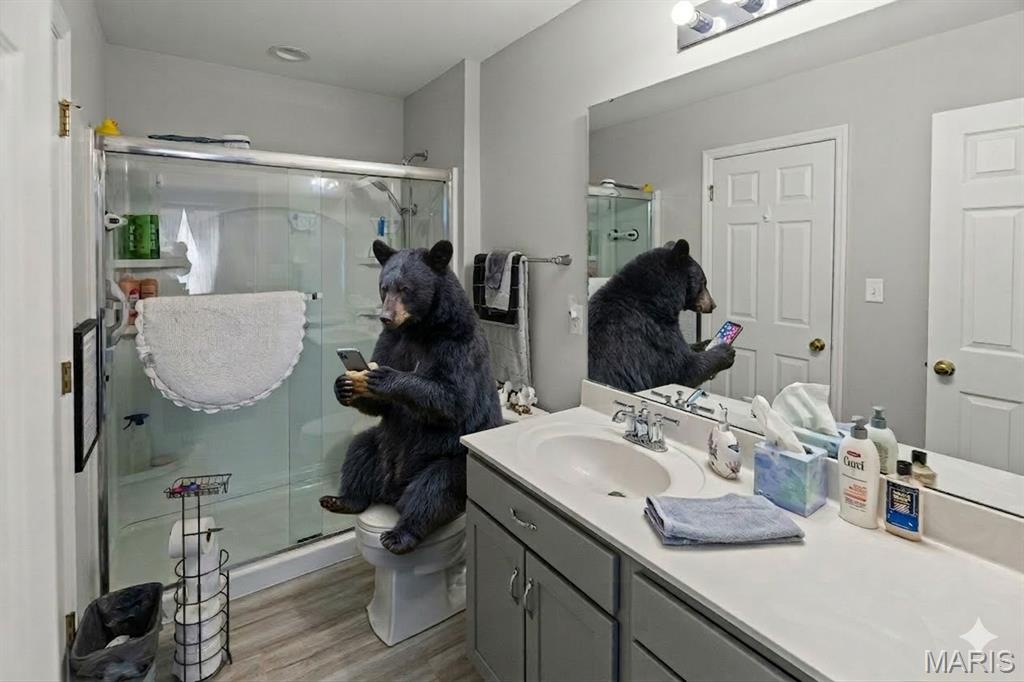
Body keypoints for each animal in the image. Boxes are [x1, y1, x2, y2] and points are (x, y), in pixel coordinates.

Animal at [319, 239, 503, 555]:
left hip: (453, 461)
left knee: (433, 490)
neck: (420, 329)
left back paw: (399, 535)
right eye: (384, 287)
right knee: (358, 450)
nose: (385, 317)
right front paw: (344, 385)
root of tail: (391, 493)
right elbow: (380, 405)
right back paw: (341, 499)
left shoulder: (456, 344)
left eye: (405, 288)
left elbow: (452, 397)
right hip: (380, 446)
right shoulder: (392, 342)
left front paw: (384, 377)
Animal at [588, 239, 735, 393]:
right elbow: (680, 369)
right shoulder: (651, 333)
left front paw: (706, 342)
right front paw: (725, 351)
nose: (713, 304)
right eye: (704, 282)